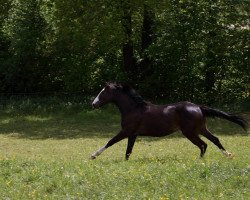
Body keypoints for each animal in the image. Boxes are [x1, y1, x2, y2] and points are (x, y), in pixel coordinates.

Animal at [90, 82, 248, 159]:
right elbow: (128, 151)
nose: (93, 104)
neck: (134, 109)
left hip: (189, 132)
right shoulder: (133, 134)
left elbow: (110, 142)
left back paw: (199, 161)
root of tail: (199, 107)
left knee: (203, 144)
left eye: (103, 92)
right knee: (214, 140)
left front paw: (93, 156)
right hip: (201, 128)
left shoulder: (126, 131)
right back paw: (227, 155)